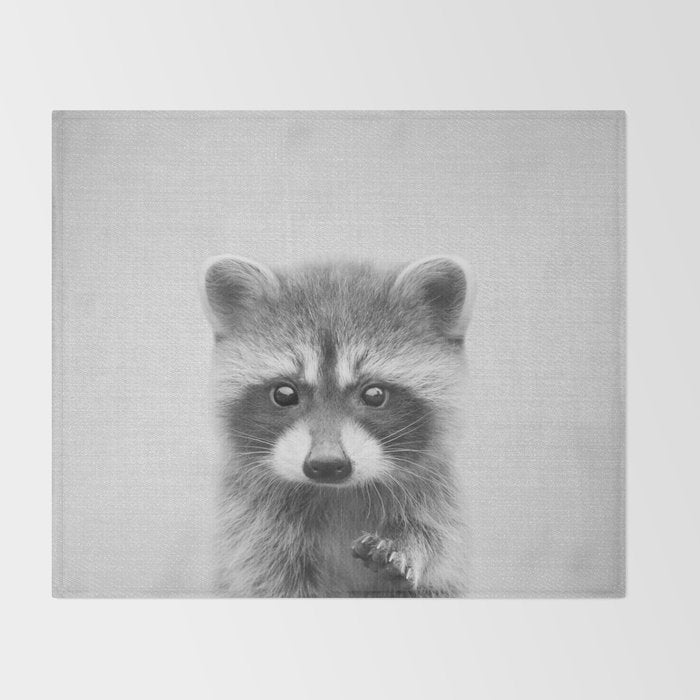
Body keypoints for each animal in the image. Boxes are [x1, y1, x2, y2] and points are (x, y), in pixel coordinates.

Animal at [201, 254, 475, 597]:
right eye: (284, 394)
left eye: (374, 394)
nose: (327, 464)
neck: (338, 492)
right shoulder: (251, 524)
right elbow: (268, 576)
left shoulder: (437, 496)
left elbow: (438, 543)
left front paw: (410, 546)